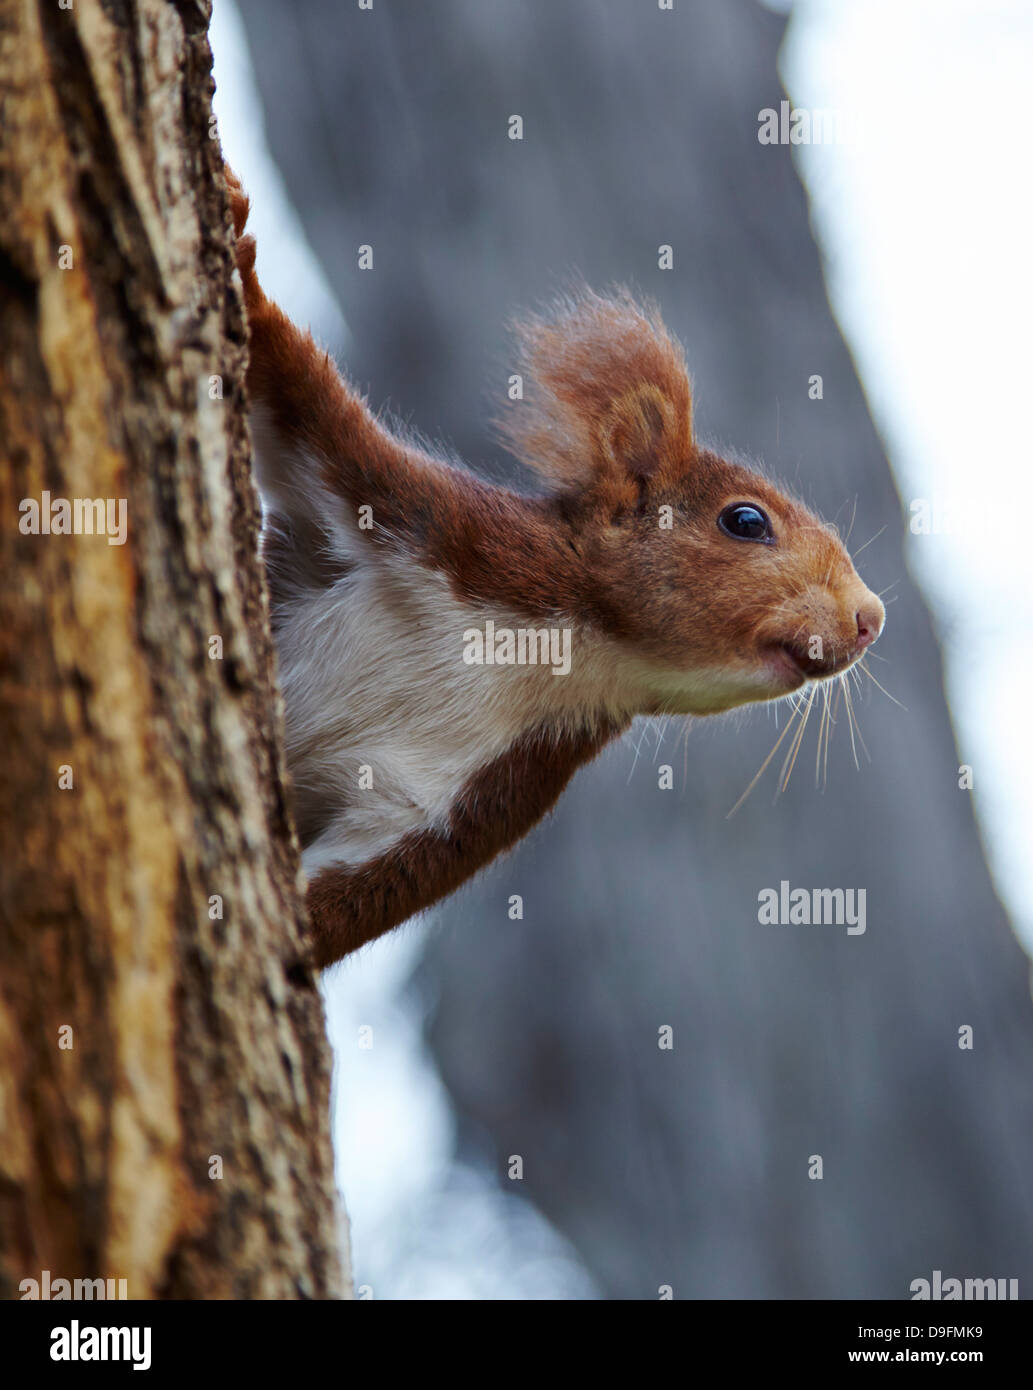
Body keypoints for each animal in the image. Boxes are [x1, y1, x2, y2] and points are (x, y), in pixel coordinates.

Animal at [223, 170, 878, 967]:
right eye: (746, 521)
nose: (870, 617)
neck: (563, 645)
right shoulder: (432, 519)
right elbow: (302, 404)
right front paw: (239, 246)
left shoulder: (478, 794)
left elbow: (347, 898)